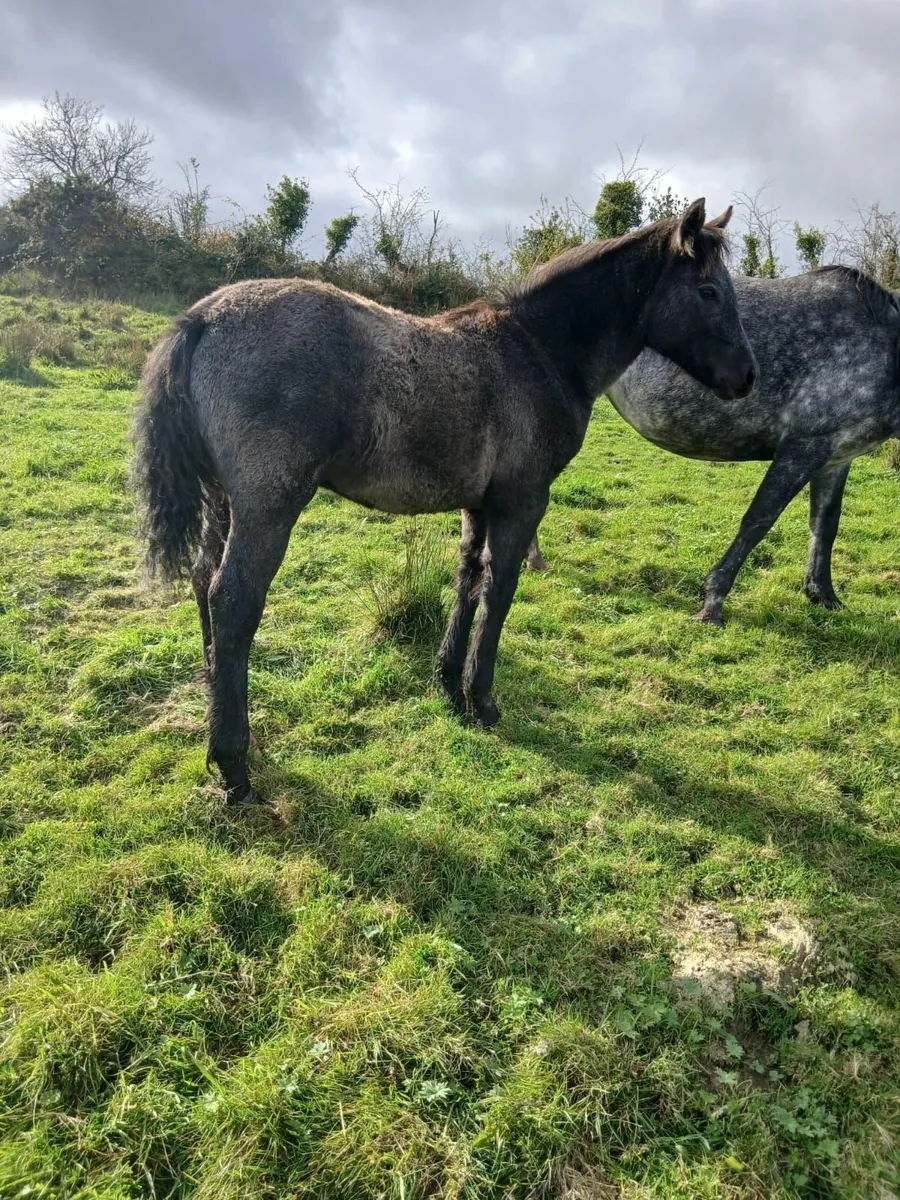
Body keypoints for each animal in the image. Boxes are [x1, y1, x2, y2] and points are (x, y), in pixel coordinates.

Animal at [132, 198, 757, 804]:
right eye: (709, 291)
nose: (748, 377)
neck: (541, 351)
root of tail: (203, 317)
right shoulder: (523, 501)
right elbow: (500, 591)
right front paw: (482, 701)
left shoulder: (477, 504)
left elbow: (468, 580)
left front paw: (448, 686)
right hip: (268, 504)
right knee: (234, 598)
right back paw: (234, 765)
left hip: (222, 499)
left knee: (202, 580)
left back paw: (216, 701)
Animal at [525, 265, 900, 623]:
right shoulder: (802, 447)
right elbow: (758, 520)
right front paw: (712, 603)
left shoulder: (836, 456)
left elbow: (825, 524)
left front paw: (823, 595)